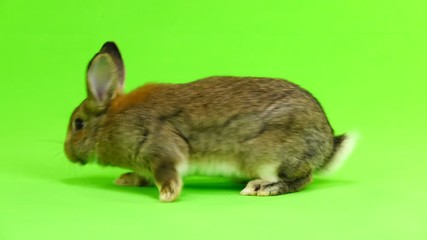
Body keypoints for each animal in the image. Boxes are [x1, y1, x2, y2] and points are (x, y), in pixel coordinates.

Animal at [63, 41, 358, 202]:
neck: (111, 121)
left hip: (272, 157)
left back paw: (262, 188)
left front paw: (167, 196)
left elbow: (167, 174)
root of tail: (327, 145)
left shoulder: (161, 151)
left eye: (78, 124)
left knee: (303, 178)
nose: (67, 153)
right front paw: (127, 179)